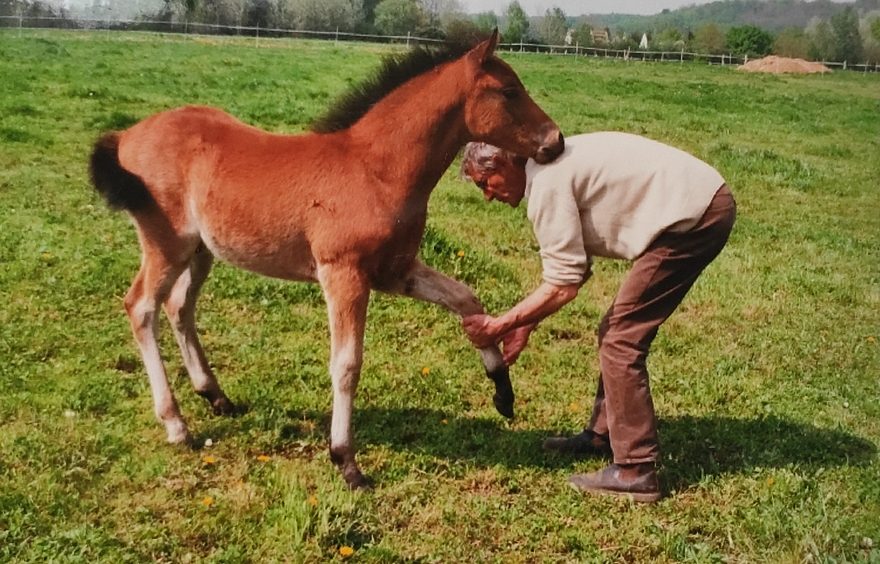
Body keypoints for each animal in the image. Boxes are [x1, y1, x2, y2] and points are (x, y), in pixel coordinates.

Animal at [87, 32, 564, 490]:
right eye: (509, 90)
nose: (555, 142)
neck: (376, 170)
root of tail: (125, 137)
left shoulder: (396, 270)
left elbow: (467, 299)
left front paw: (503, 392)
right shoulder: (343, 274)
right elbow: (347, 364)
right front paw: (346, 462)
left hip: (201, 251)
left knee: (178, 306)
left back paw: (216, 396)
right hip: (166, 244)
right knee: (141, 307)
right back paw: (176, 425)